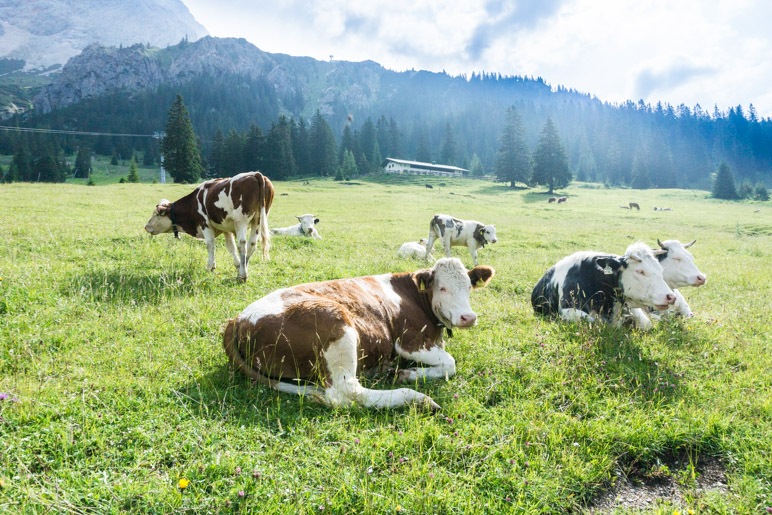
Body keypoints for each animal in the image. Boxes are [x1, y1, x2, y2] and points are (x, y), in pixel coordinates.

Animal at [145, 171, 274, 282]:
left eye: (156, 214)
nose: (146, 226)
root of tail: (254, 174)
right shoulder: (226, 228)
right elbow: (231, 247)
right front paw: (238, 265)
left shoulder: (204, 224)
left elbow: (210, 245)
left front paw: (210, 266)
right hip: (258, 220)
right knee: (252, 244)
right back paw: (242, 271)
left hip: (241, 220)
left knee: (242, 244)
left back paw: (243, 275)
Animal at [220, 258, 494, 412]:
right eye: (442, 288)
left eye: (469, 287)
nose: (468, 317)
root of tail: (237, 319)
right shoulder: (409, 341)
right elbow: (450, 363)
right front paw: (409, 374)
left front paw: (409, 372)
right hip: (336, 322)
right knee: (346, 392)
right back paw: (416, 398)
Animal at [532, 243, 676, 330]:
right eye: (640, 271)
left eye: (660, 269)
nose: (671, 297)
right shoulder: (567, 309)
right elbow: (592, 321)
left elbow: (647, 324)